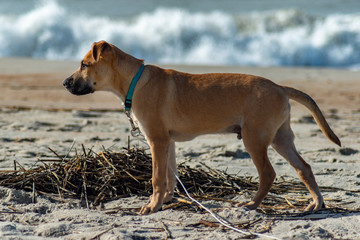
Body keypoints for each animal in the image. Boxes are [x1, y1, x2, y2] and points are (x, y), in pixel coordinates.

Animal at [62, 40, 340, 215]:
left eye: (84, 65)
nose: (65, 83)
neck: (135, 82)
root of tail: (280, 88)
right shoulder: (168, 142)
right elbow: (170, 176)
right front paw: (165, 201)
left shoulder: (157, 141)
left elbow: (156, 178)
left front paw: (152, 207)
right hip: (280, 138)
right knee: (304, 168)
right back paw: (317, 203)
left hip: (255, 139)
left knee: (268, 174)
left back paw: (251, 205)